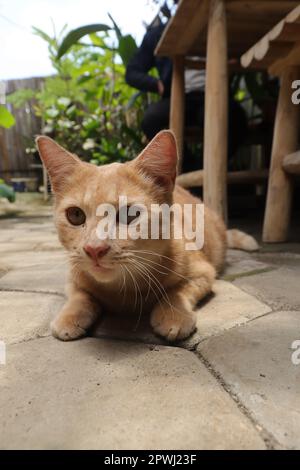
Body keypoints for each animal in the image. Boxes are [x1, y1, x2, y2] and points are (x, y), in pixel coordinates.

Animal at [37, 131, 258, 342]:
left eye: (130, 214)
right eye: (75, 215)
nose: (94, 249)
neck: (123, 290)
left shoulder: (204, 272)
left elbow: (178, 290)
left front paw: (173, 314)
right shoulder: (74, 274)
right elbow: (80, 294)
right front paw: (69, 316)